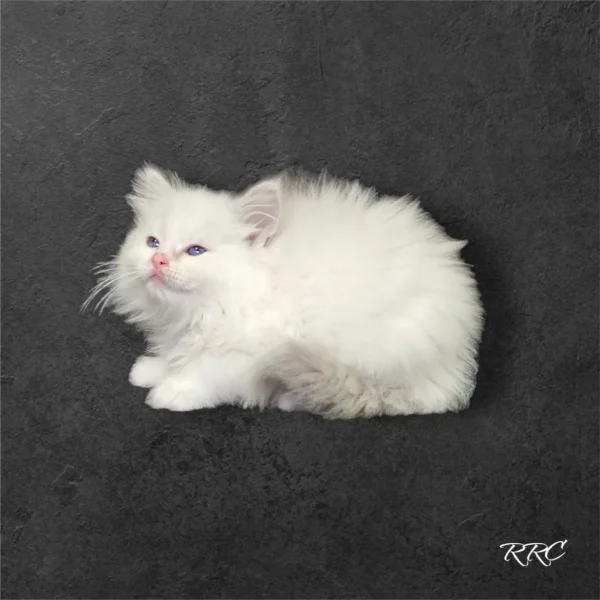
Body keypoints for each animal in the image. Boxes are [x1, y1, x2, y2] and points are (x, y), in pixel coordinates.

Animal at [86, 163, 486, 418]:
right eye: (152, 242)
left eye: (195, 251)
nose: (158, 261)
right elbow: (177, 354)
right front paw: (156, 369)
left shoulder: (250, 349)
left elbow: (208, 372)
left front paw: (175, 391)